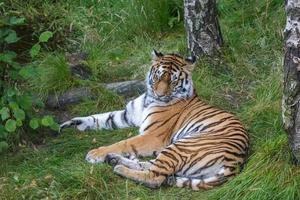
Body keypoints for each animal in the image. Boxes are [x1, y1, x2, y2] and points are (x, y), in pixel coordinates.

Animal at [59, 50, 250, 191]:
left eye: (173, 81)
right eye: (158, 76)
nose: (159, 94)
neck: (148, 99)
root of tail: (236, 162)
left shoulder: (153, 136)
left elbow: (124, 143)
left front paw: (95, 153)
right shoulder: (127, 115)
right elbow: (101, 118)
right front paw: (73, 123)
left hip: (182, 146)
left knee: (155, 177)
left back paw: (118, 167)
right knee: (150, 166)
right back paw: (114, 160)